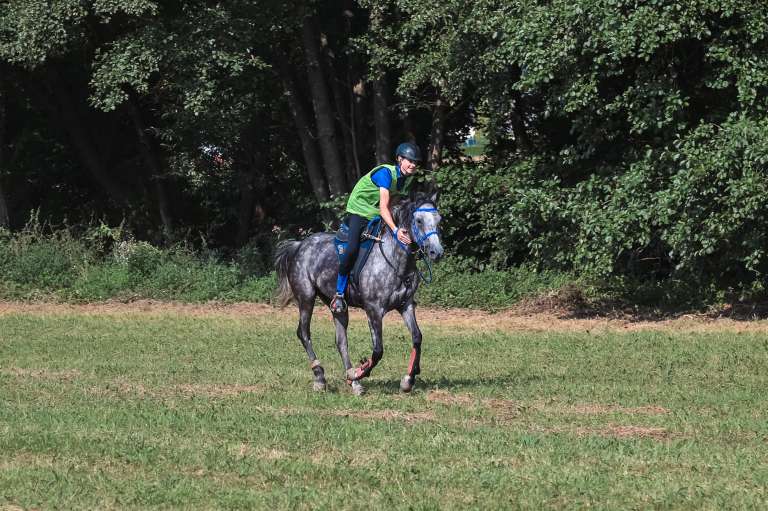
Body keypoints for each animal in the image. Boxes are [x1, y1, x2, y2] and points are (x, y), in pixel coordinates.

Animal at [276, 192, 444, 396]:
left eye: (439, 220)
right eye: (419, 221)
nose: (437, 252)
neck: (396, 260)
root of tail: (299, 245)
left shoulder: (406, 305)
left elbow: (417, 338)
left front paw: (408, 380)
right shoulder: (373, 310)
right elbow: (378, 350)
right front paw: (360, 371)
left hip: (337, 306)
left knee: (341, 341)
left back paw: (353, 383)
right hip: (306, 297)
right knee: (304, 333)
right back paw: (321, 377)